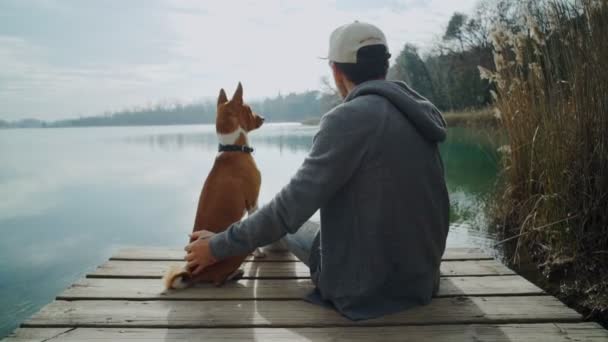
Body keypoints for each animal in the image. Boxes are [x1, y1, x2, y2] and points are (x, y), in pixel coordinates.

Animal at [163, 83, 264, 288]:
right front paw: (258, 253)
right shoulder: (253, 202)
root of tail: (194, 273)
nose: (263, 118)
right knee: (219, 279)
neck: (232, 149)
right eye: (249, 109)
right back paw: (236, 273)